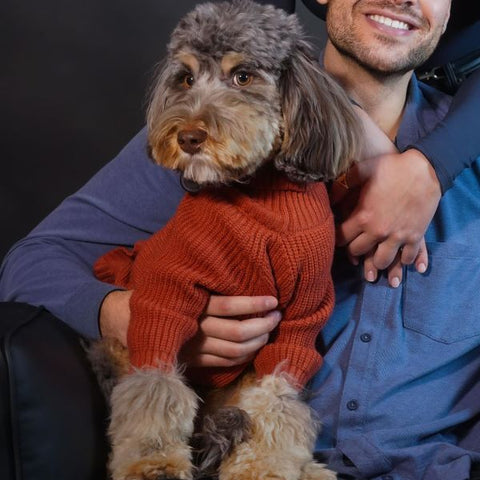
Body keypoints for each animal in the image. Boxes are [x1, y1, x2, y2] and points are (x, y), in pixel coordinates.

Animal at [89, 0, 360, 480]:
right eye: (185, 79)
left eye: (243, 77)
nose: (188, 137)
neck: (265, 196)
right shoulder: (165, 300)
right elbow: (154, 388)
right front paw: (154, 460)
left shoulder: (300, 321)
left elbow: (279, 404)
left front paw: (265, 465)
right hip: (116, 346)